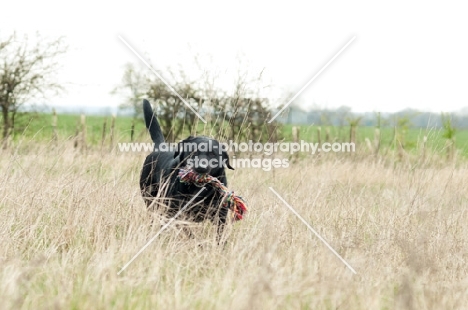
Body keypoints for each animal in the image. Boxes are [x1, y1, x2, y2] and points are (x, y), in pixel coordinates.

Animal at [139, 99, 234, 240]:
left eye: (213, 154)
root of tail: (160, 147)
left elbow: (219, 236)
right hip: (151, 199)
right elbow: (189, 232)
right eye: (193, 151)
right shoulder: (176, 213)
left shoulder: (220, 215)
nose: (201, 167)